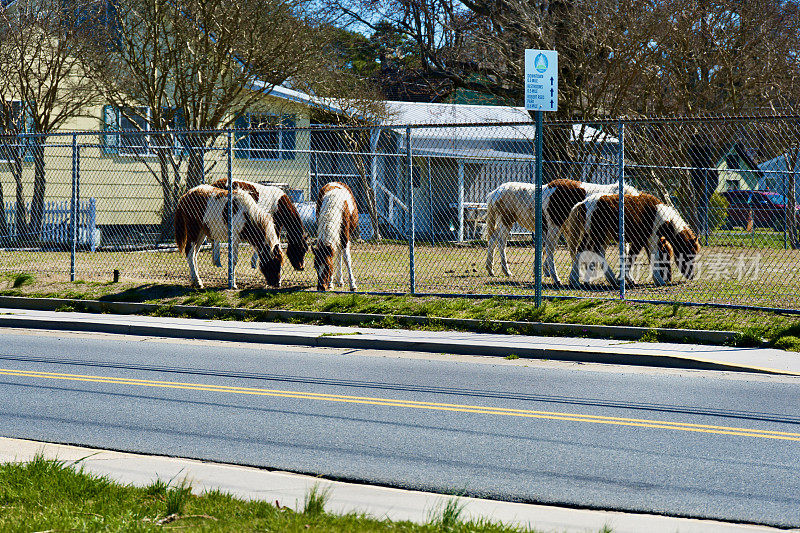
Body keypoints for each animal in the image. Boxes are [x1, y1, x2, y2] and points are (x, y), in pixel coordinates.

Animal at [564, 191, 700, 286]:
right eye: (688, 254)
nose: (691, 276)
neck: (659, 216)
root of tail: (583, 203)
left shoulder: (647, 241)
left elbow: (639, 257)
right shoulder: (642, 240)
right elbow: (636, 257)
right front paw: (655, 280)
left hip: (596, 236)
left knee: (593, 252)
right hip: (595, 234)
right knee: (582, 251)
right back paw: (575, 280)